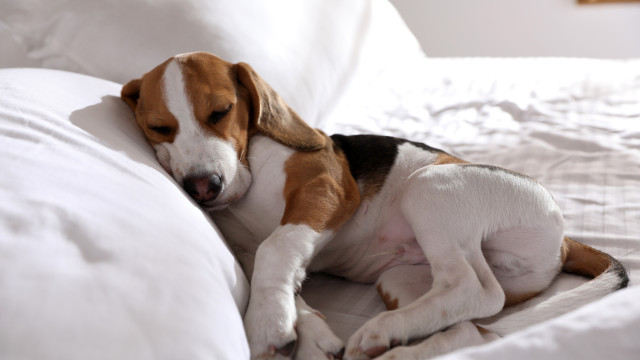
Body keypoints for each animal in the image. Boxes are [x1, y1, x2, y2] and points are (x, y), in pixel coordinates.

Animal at [122, 51, 628, 360]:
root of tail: (564, 240)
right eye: (158, 128)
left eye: (221, 112)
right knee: (470, 326)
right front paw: (306, 331)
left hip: (431, 188)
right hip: (400, 280)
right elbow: (278, 272)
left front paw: (266, 323)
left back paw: (381, 331)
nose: (203, 187)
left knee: (475, 289)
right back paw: (400, 345)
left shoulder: (327, 187)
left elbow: (277, 247)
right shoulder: (250, 254)